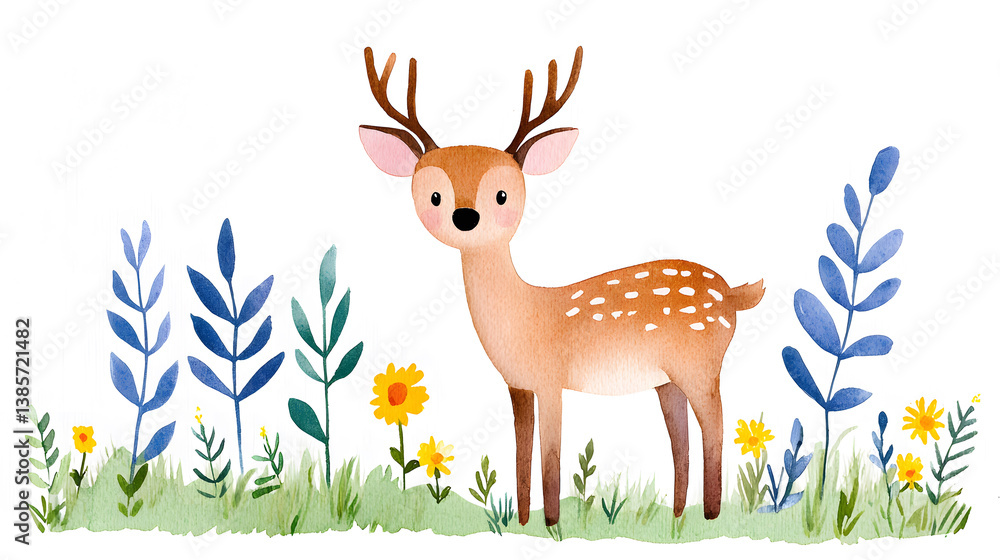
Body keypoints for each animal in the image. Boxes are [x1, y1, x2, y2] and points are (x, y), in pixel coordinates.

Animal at [358, 46, 765, 525]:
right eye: (434, 196)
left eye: (502, 195)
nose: (465, 216)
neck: (523, 316)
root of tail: (733, 293)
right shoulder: (518, 384)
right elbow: (521, 453)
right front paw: (522, 521)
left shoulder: (552, 378)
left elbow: (550, 457)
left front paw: (552, 524)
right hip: (667, 378)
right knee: (680, 438)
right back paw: (678, 518)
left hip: (701, 364)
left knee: (715, 428)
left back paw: (711, 517)